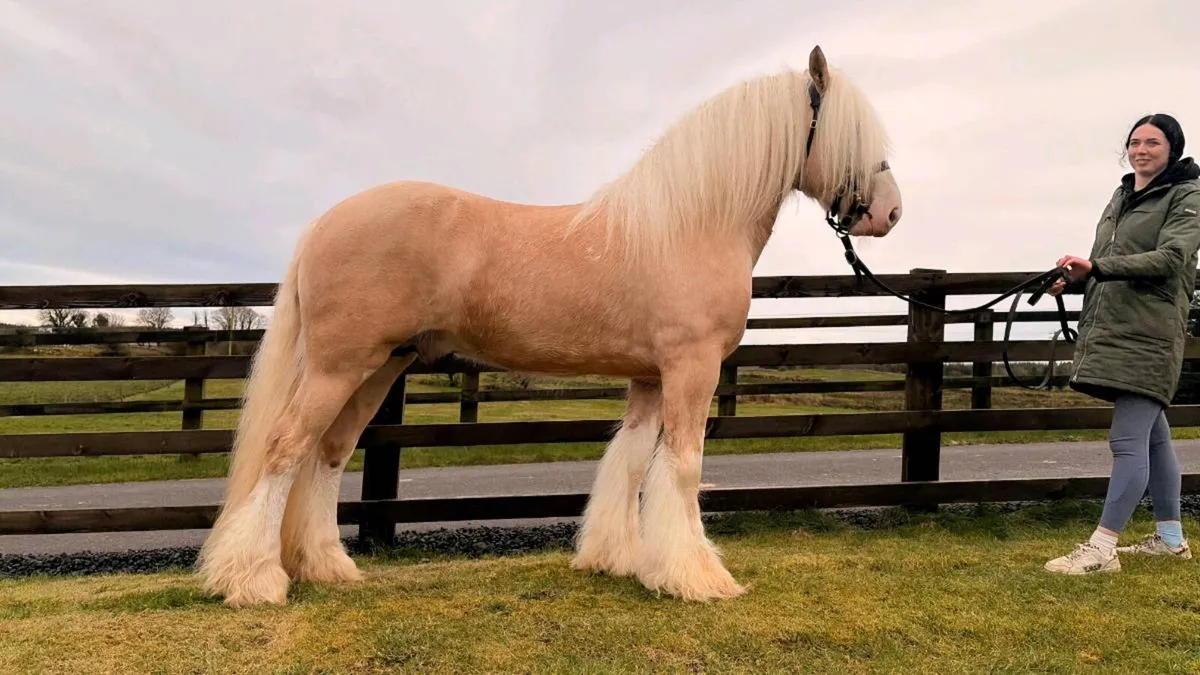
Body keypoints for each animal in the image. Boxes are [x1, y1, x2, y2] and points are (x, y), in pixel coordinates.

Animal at [195, 45, 903, 607]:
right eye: (852, 135)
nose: (891, 213)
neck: (690, 224)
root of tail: (324, 221)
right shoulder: (691, 367)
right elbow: (682, 468)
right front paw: (699, 578)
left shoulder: (650, 377)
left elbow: (630, 463)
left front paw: (619, 560)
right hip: (340, 365)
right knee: (286, 449)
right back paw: (254, 580)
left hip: (379, 366)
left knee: (328, 453)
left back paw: (327, 568)